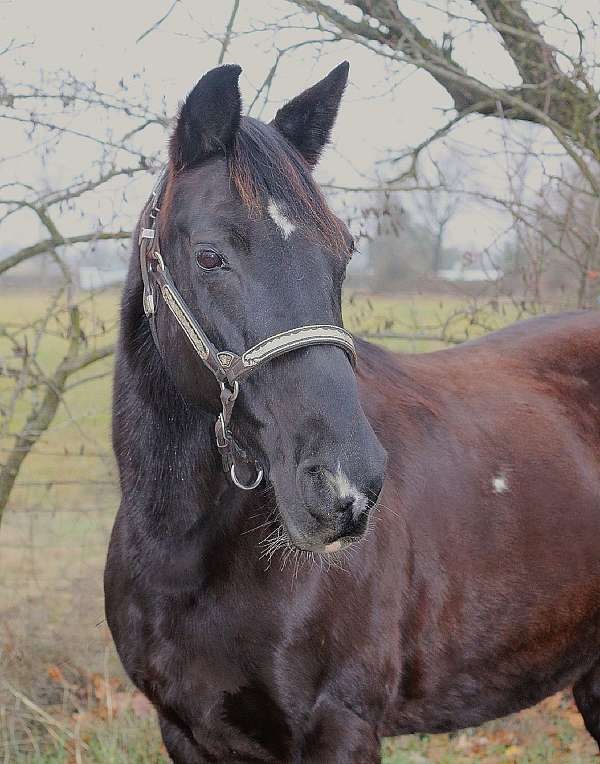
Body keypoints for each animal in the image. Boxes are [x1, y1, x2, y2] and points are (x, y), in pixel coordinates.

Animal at [104, 62, 600, 760]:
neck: (183, 555)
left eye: (341, 254)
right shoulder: (184, 731)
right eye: (209, 256)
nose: (346, 485)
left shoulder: (338, 724)